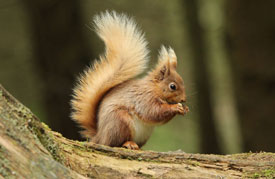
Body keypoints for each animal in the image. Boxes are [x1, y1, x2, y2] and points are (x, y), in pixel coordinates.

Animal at [70, 11, 190, 150]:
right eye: (172, 86)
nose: (184, 99)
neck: (153, 88)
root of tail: (99, 136)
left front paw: (185, 108)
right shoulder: (144, 99)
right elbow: (153, 112)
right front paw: (176, 107)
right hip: (120, 122)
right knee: (114, 142)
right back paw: (128, 143)